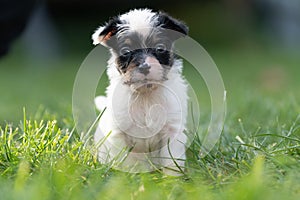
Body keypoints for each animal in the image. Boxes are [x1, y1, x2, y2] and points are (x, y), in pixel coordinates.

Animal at [92, 8, 189, 176]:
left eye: (160, 48)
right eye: (126, 51)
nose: (144, 67)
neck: (145, 95)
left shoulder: (171, 130)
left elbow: (171, 159)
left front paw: (172, 179)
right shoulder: (118, 133)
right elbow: (125, 159)